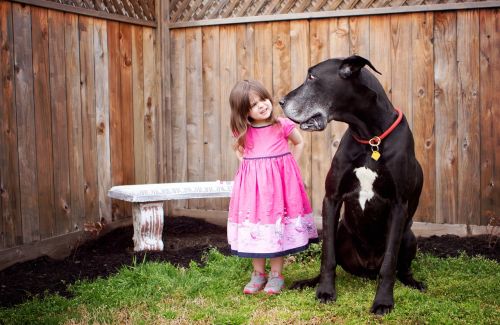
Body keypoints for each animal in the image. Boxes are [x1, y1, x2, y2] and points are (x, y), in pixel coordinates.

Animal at [280, 55, 424, 314]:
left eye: (312, 77)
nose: (280, 102)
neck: (370, 138)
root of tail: (367, 269)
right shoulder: (332, 197)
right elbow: (327, 257)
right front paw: (325, 291)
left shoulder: (399, 205)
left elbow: (389, 263)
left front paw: (383, 301)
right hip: (340, 232)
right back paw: (308, 282)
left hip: (409, 237)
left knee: (402, 268)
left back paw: (413, 282)